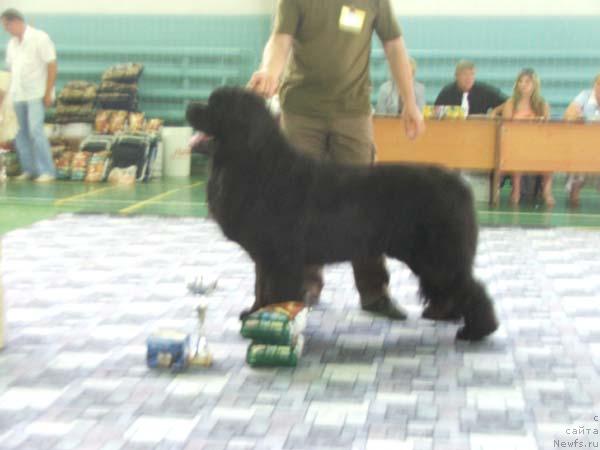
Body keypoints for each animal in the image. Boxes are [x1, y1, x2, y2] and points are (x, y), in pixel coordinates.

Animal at [186, 87, 496, 342]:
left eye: (216, 106)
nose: (189, 106)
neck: (256, 162)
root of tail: (459, 184)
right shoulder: (266, 256)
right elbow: (261, 285)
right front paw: (254, 313)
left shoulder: (281, 256)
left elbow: (276, 289)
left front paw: (271, 320)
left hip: (437, 254)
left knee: (469, 286)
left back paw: (477, 330)